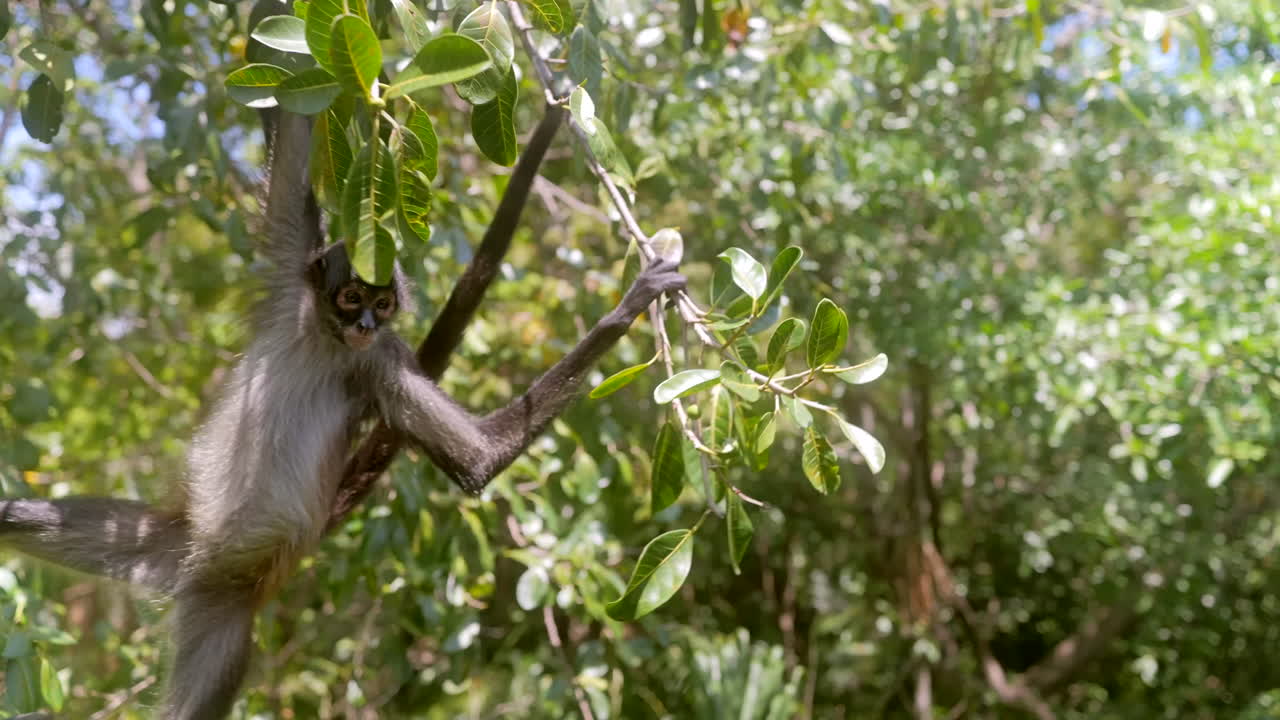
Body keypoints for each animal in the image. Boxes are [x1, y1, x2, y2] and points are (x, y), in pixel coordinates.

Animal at [0, 110, 685, 719]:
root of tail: (194, 571)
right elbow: (291, 136)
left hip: (220, 607)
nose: (364, 325)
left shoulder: (380, 363)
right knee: (18, 517)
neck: (324, 339)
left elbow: (478, 461)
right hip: (159, 543)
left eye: (384, 305)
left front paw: (624, 310)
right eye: (352, 295)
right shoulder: (291, 276)